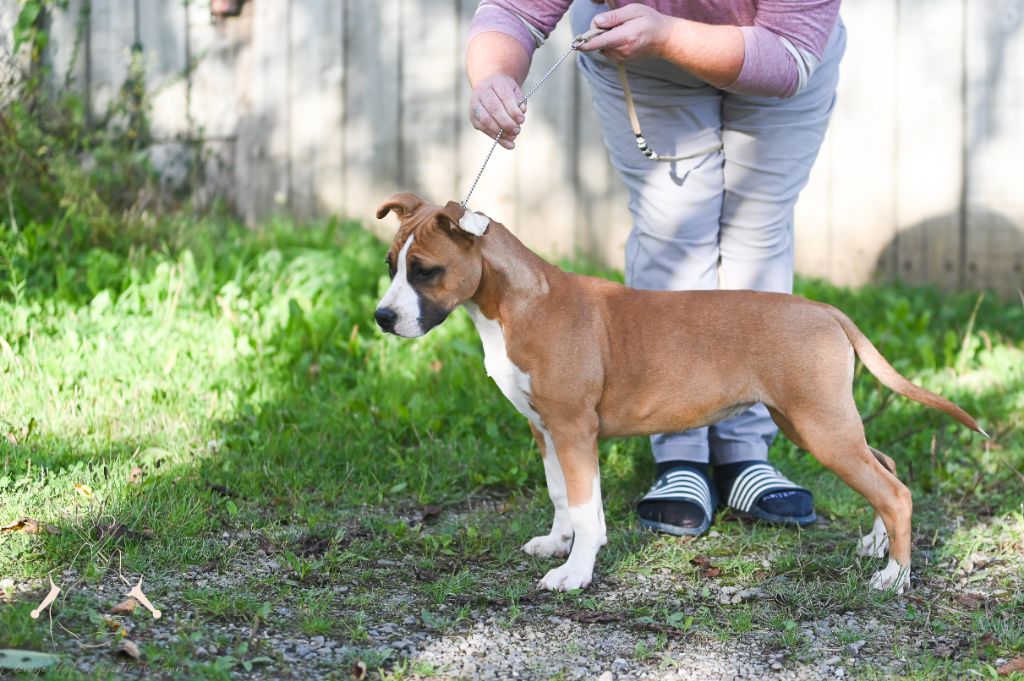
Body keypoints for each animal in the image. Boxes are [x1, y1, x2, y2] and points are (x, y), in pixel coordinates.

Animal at [374, 189, 983, 589]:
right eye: (389, 264)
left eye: (425, 270)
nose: (382, 318)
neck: (516, 304)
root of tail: (825, 310)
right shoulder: (544, 428)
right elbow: (560, 496)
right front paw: (557, 544)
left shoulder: (574, 430)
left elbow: (587, 507)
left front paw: (575, 572)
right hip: (812, 421)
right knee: (886, 468)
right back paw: (878, 547)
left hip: (821, 426)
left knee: (894, 491)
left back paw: (894, 577)